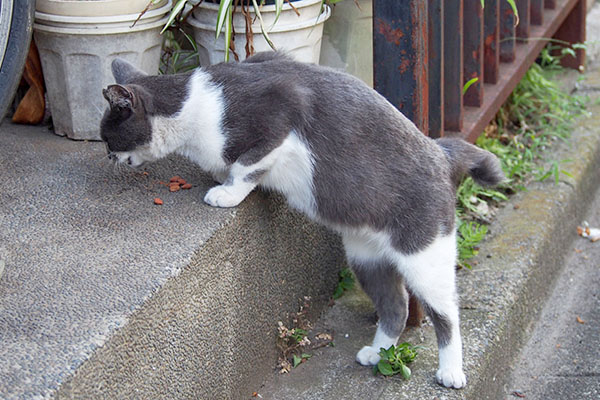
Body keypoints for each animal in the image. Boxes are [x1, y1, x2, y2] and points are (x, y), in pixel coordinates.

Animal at [101, 51, 504, 390]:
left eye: (108, 137)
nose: (106, 156)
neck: (193, 107)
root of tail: (442, 151)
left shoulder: (280, 110)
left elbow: (248, 165)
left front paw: (226, 192)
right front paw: (220, 176)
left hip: (424, 255)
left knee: (447, 313)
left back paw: (450, 371)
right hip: (366, 258)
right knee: (397, 305)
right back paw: (377, 353)